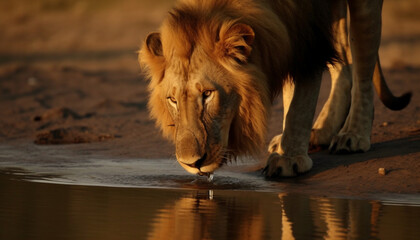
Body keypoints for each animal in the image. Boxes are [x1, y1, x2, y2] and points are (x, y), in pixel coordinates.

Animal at [139, 0, 410, 177]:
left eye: (207, 94)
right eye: (172, 100)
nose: (192, 163)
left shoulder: (305, 39)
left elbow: (299, 106)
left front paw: (288, 160)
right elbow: (292, 100)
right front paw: (287, 146)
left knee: (362, 64)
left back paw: (353, 135)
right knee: (344, 62)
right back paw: (321, 131)